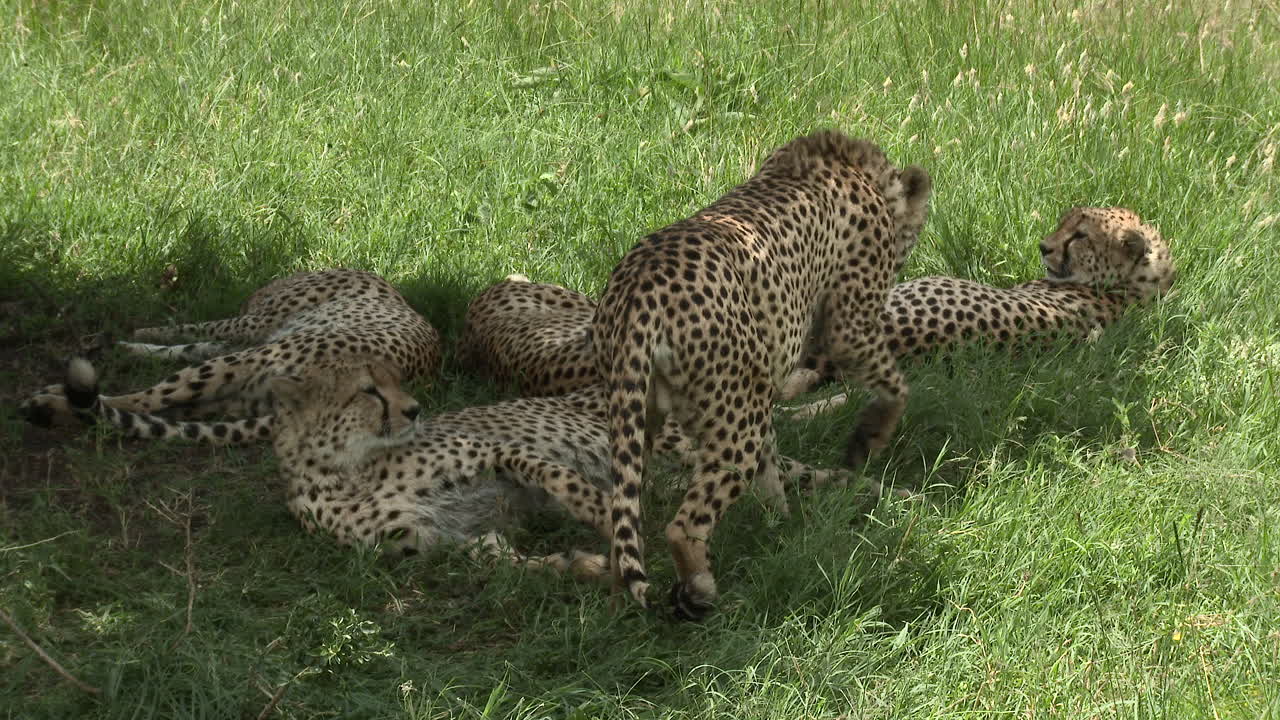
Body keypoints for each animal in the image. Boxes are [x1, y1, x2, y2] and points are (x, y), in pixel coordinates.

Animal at [20, 269, 442, 436]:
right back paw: (54, 403)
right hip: (237, 396)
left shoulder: (247, 331)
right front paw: (126, 346)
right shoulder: (243, 339)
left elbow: (191, 330)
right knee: (167, 409)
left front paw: (135, 334)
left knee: (145, 400)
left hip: (242, 365)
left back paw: (49, 399)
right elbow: (183, 345)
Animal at [589, 130, 933, 618]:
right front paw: (869, 437)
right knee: (684, 524)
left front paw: (780, 524)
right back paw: (700, 588)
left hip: (637, 415)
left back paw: (620, 598)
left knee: (626, 519)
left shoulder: (760, 385)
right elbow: (897, 386)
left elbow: (773, 461)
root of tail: (641, 281)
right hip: (730, 423)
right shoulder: (849, 325)